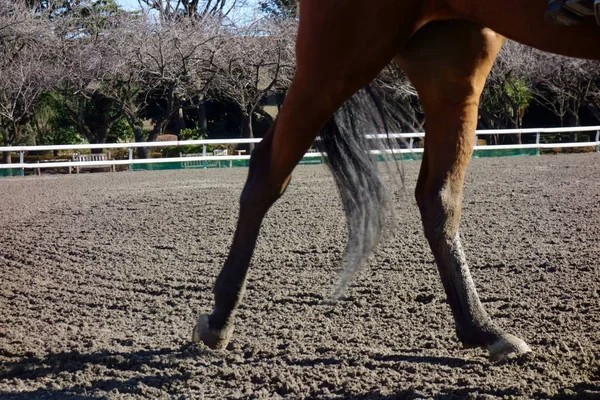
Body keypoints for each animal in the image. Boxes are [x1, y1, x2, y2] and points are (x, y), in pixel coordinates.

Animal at [192, 0, 600, 362]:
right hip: (336, 58)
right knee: (268, 170)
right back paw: (219, 320)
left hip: (452, 62)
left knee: (438, 197)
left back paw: (483, 330)